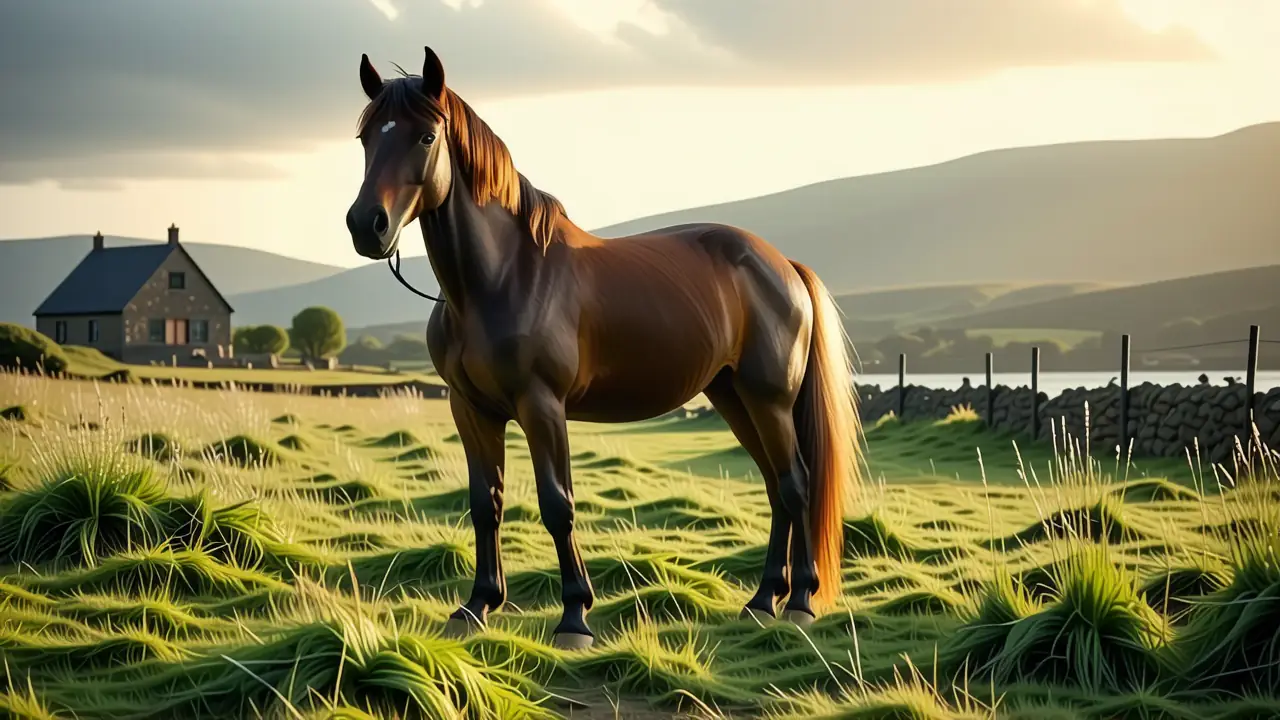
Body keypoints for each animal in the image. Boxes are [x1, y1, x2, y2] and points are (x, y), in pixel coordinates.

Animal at [345, 46, 864, 650]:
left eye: (427, 136)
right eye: (366, 137)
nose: (367, 226)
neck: (500, 279)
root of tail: (781, 264)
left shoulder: (542, 407)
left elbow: (557, 505)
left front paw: (574, 617)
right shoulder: (470, 409)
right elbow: (484, 503)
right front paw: (476, 606)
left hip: (769, 399)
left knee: (796, 484)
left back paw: (799, 600)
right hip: (734, 398)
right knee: (776, 485)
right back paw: (762, 601)